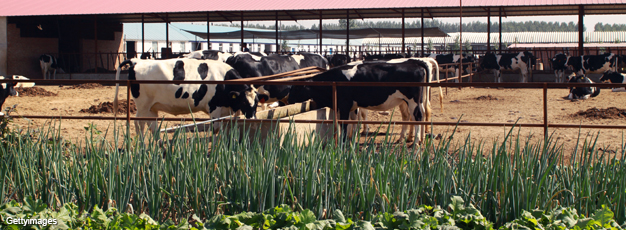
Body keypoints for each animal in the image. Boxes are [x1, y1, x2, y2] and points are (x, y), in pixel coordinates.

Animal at [113, 58, 258, 137]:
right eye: (244, 102)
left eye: (256, 104)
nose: (252, 119)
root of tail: (137, 61)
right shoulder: (214, 108)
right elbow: (216, 129)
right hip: (143, 105)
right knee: (139, 124)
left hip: (151, 108)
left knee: (152, 127)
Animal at [288, 58, 438, 143]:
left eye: (296, 88)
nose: (288, 100)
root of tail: (415, 63)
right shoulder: (353, 106)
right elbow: (354, 122)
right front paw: (352, 141)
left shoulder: (344, 105)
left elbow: (344, 124)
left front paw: (343, 142)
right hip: (414, 101)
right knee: (416, 116)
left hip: (412, 101)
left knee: (417, 116)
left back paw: (416, 143)